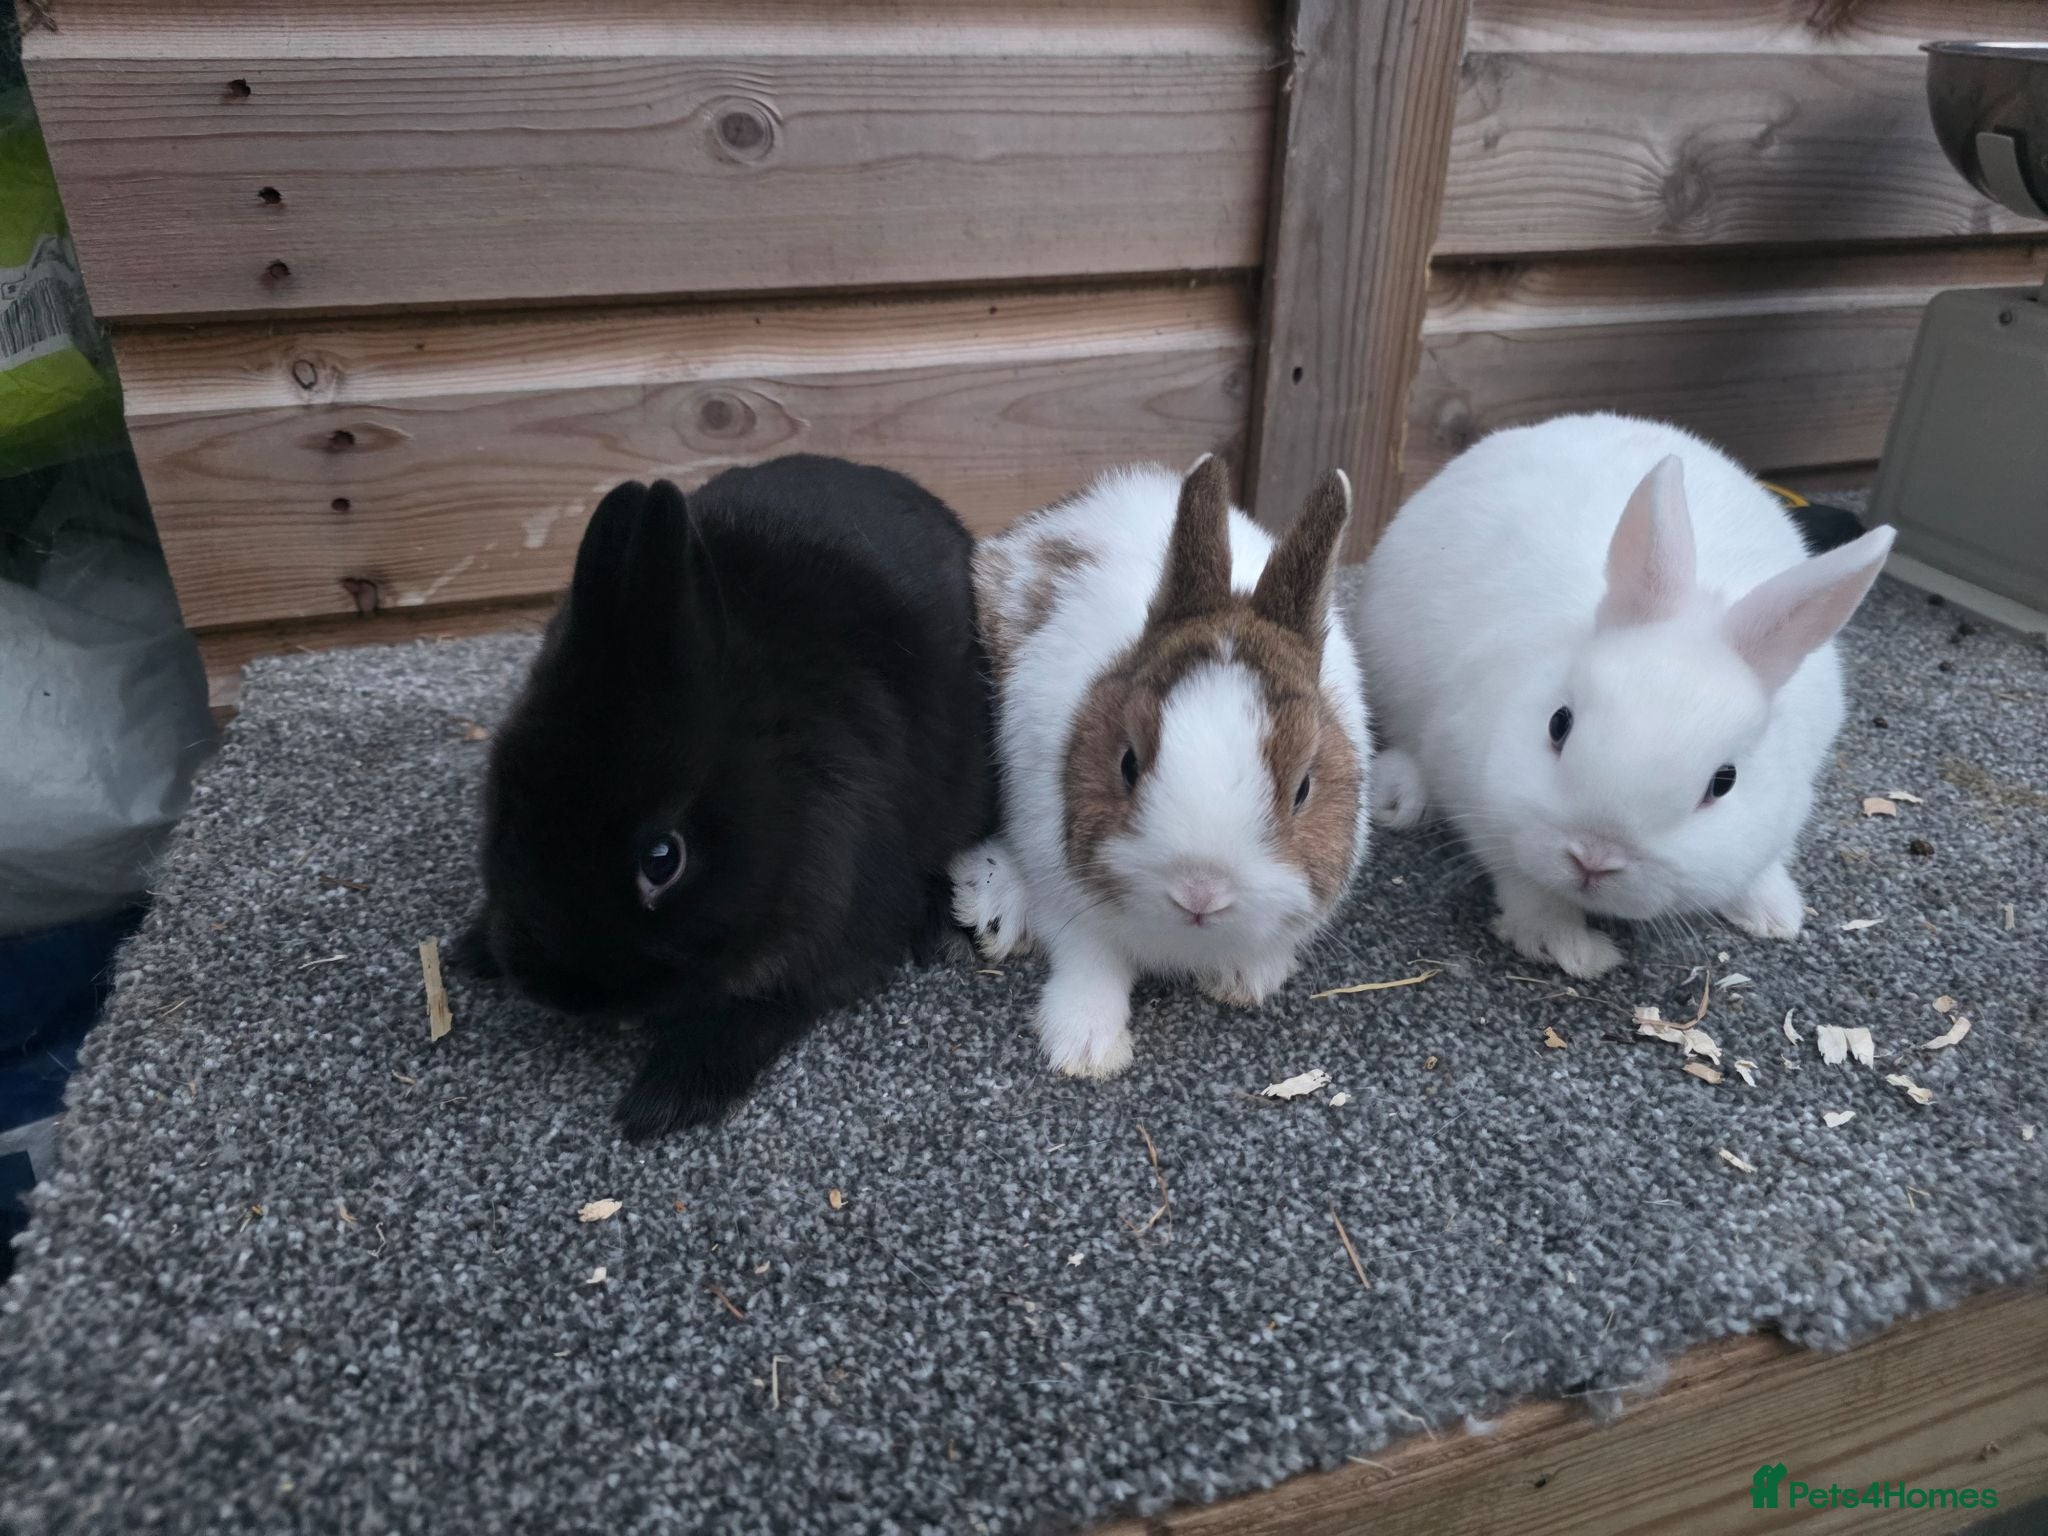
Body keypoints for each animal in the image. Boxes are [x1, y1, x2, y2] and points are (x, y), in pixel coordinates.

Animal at [458, 456, 993, 1140]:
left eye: (663, 859)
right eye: (507, 801)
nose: (562, 991)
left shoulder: (838, 929)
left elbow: (763, 1010)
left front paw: (667, 1098)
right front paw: (471, 948)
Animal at [951, 456, 1370, 1078]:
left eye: (1303, 788)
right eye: (1128, 763)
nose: (1201, 893)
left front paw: (1245, 980)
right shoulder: (1068, 898)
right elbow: (1089, 962)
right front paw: (1085, 1047)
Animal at [1354, 412, 1895, 979]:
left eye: (1724, 782)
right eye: (1558, 724)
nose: (1594, 858)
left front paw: (1775, 916)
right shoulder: (1476, 791)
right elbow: (1527, 887)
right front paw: (1570, 947)